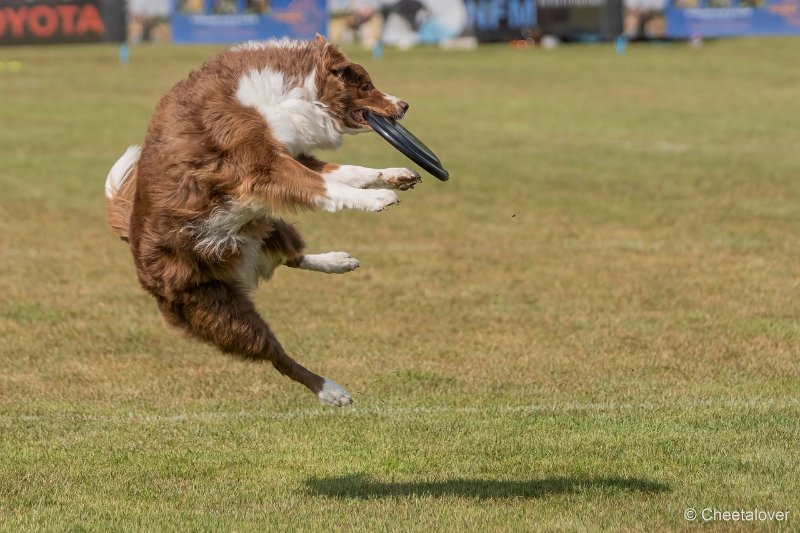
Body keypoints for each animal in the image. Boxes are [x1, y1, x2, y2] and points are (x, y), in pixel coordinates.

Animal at [104, 35, 424, 406]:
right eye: (366, 85)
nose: (404, 105)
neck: (292, 92)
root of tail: (131, 244)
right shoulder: (263, 166)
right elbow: (328, 187)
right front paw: (377, 198)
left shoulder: (293, 154)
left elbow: (349, 173)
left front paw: (394, 175)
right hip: (220, 310)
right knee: (277, 356)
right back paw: (331, 390)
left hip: (264, 225)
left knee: (293, 257)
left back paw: (338, 262)